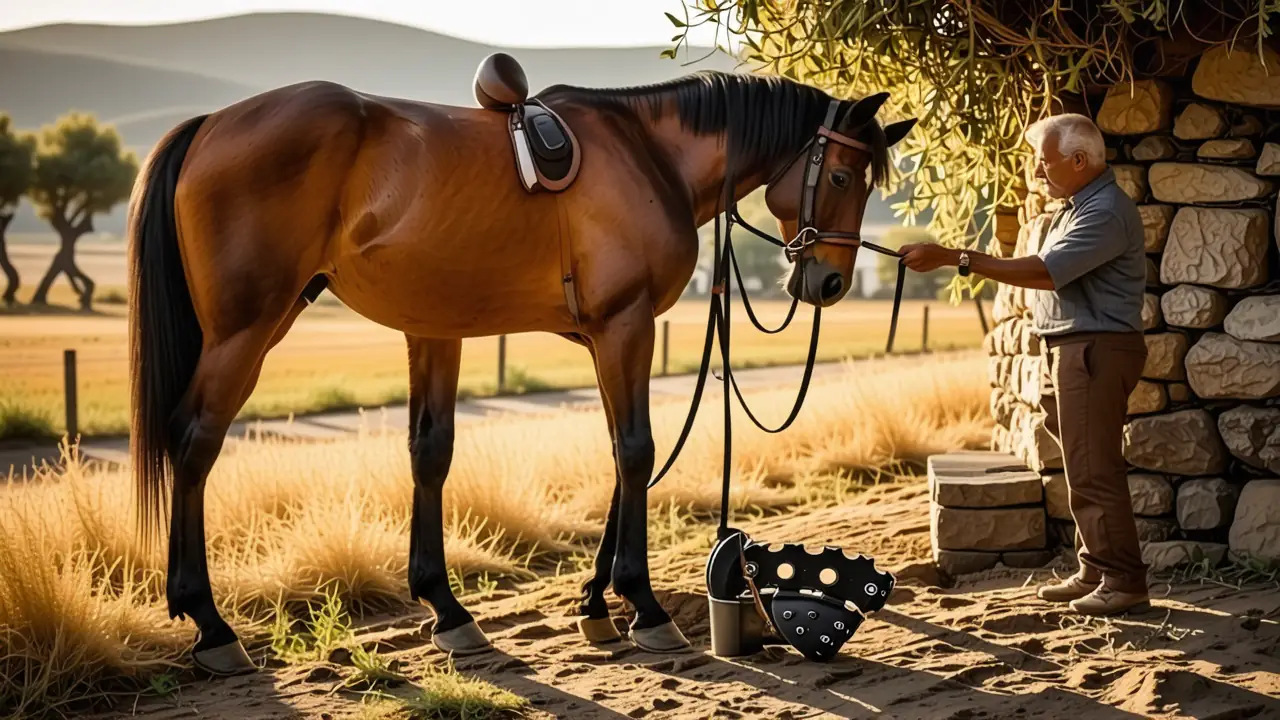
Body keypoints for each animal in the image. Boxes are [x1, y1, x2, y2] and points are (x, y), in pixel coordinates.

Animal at [125, 62, 916, 675]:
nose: (828, 283)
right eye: (839, 173)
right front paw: (643, 607)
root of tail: (211, 124)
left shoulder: (464, 333)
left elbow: (447, 454)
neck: (648, 152)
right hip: (246, 328)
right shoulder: (624, 326)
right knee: (195, 442)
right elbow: (637, 452)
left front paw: (493, 610)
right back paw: (212, 627)